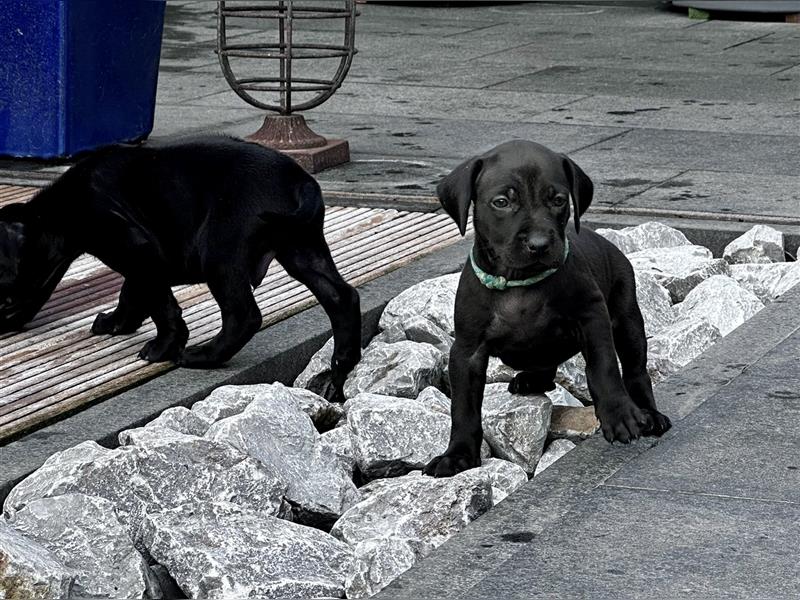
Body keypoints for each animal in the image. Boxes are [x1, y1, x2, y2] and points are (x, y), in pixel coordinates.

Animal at [0, 134, 360, 400]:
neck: (58, 213)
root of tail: (300, 182)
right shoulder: (142, 261)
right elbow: (133, 293)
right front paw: (118, 323)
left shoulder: (138, 250)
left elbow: (160, 304)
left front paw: (163, 347)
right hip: (303, 250)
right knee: (341, 297)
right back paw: (341, 366)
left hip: (220, 254)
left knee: (243, 315)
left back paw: (203, 356)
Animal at [422, 141, 672, 478]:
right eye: (501, 202)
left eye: (558, 200)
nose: (539, 244)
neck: (521, 283)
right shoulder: (466, 350)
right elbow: (463, 406)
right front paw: (457, 455)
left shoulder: (593, 318)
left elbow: (604, 368)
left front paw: (620, 415)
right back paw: (531, 379)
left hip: (627, 319)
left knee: (635, 371)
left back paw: (650, 413)